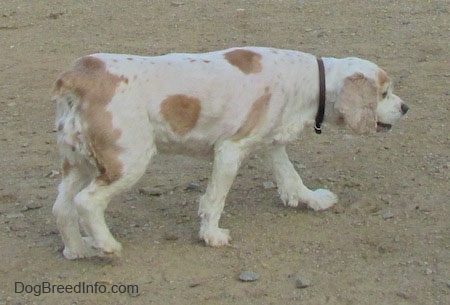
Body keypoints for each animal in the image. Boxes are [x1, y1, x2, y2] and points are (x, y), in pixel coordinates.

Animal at [51, 46, 408, 258]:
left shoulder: (271, 143)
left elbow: (291, 178)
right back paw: (106, 245)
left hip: (78, 163)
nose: (405, 107)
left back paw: (78, 249)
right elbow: (214, 199)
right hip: (127, 161)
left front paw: (313, 200)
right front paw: (211, 236)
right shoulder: (230, 151)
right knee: (86, 202)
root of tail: (80, 75)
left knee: (62, 207)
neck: (307, 81)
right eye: (384, 92)